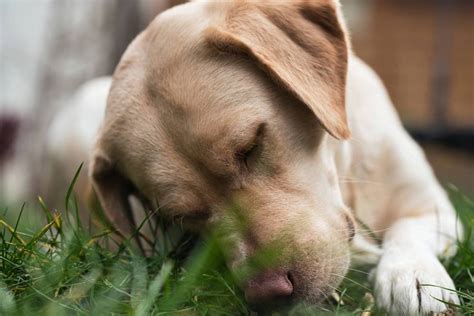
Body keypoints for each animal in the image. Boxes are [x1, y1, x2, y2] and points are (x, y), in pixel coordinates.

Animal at [53, 0, 462, 314]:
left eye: (251, 146)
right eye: (181, 216)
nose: (270, 294)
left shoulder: (434, 206)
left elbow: (409, 230)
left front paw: (414, 278)